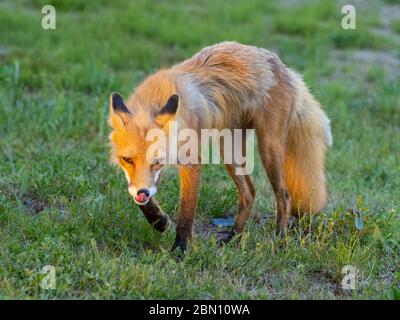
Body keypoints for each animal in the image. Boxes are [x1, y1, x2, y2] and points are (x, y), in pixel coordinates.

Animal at [108, 41, 332, 251]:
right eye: (127, 160)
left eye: (156, 161)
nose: (142, 193)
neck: (155, 97)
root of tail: (284, 68)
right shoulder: (156, 167)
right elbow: (143, 196)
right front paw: (159, 221)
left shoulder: (190, 160)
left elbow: (186, 211)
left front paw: (180, 249)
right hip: (229, 151)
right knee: (249, 193)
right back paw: (235, 237)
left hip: (268, 149)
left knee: (284, 196)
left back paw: (279, 238)